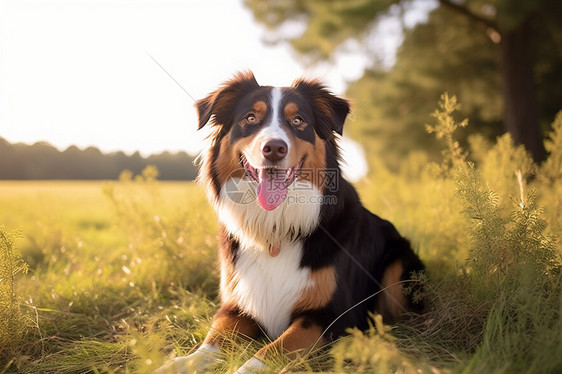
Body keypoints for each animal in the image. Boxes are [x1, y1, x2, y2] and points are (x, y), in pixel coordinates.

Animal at [155, 71, 422, 372]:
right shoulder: (236, 306)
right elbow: (211, 343)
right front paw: (176, 364)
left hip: (398, 265)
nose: (274, 148)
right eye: (250, 118)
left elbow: (273, 349)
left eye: (298, 120)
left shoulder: (331, 316)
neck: (275, 226)